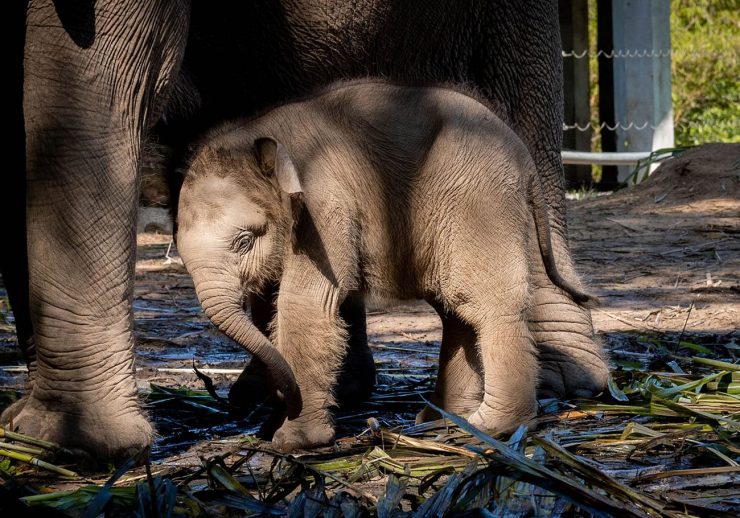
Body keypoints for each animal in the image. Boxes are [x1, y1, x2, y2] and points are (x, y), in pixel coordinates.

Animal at [176, 80, 592, 450]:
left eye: (244, 241)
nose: (283, 399)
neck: (256, 135)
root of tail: (523, 153)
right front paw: (274, 425)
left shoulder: (324, 206)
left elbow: (304, 305)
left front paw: (292, 442)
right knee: (455, 308)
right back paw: (442, 418)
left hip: (479, 199)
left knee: (485, 303)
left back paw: (490, 428)